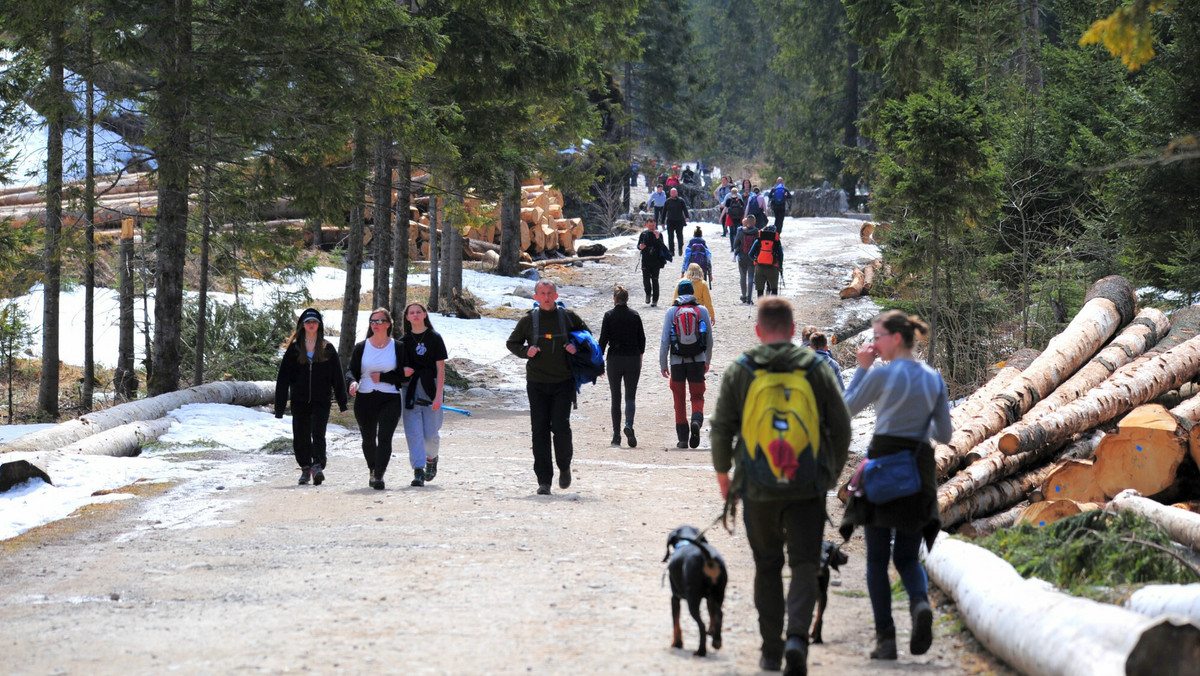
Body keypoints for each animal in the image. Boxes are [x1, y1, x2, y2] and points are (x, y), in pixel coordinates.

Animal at [662, 525, 724, 657]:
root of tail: (707, 557)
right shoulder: (710, 598)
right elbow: (712, 615)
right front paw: (712, 632)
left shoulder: (675, 598)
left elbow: (676, 624)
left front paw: (677, 643)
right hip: (718, 594)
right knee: (719, 615)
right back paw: (716, 641)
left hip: (693, 600)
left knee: (701, 625)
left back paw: (701, 651)